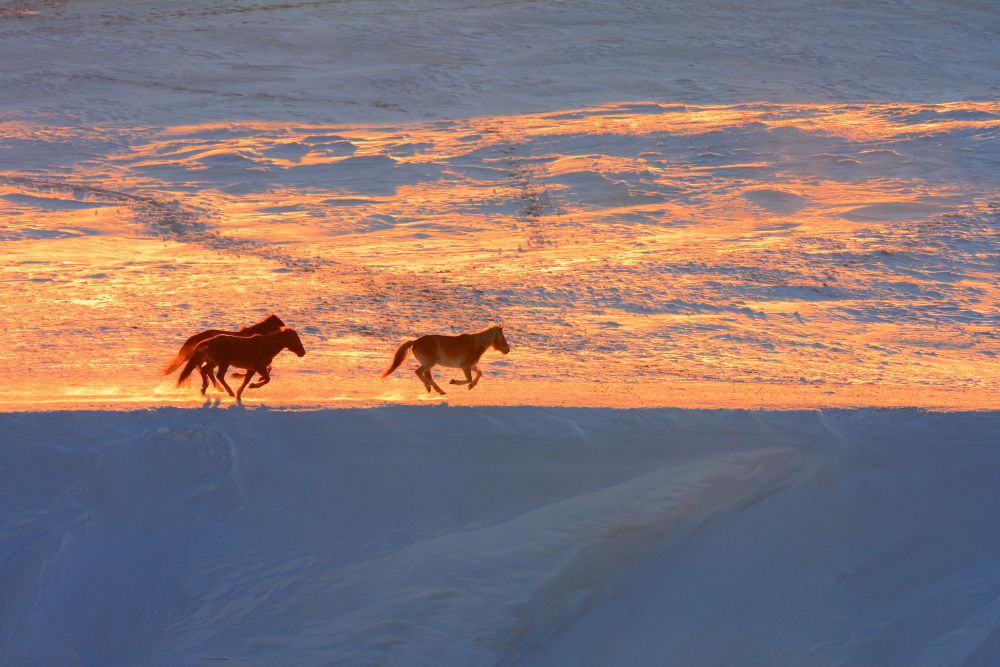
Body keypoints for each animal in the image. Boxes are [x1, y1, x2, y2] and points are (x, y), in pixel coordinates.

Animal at [176, 328, 306, 402]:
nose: (302, 352)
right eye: (294, 339)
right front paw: (253, 386)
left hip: (214, 362)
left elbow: (246, 380)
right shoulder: (259, 367)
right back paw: (229, 392)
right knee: (219, 376)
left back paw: (204, 388)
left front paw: (239, 393)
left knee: (204, 370)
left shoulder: (251, 369)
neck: (266, 346)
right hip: (223, 363)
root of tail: (210, 341)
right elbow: (267, 379)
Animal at [380, 324, 512, 394]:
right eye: (502, 337)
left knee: (427, 376)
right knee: (418, 372)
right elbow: (469, 378)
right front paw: (453, 382)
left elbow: (479, 373)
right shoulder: (465, 367)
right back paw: (429, 388)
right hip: (429, 363)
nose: (508, 350)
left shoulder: (472, 366)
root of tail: (415, 342)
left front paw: (471, 386)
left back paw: (440, 391)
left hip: (428, 364)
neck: (475, 345)